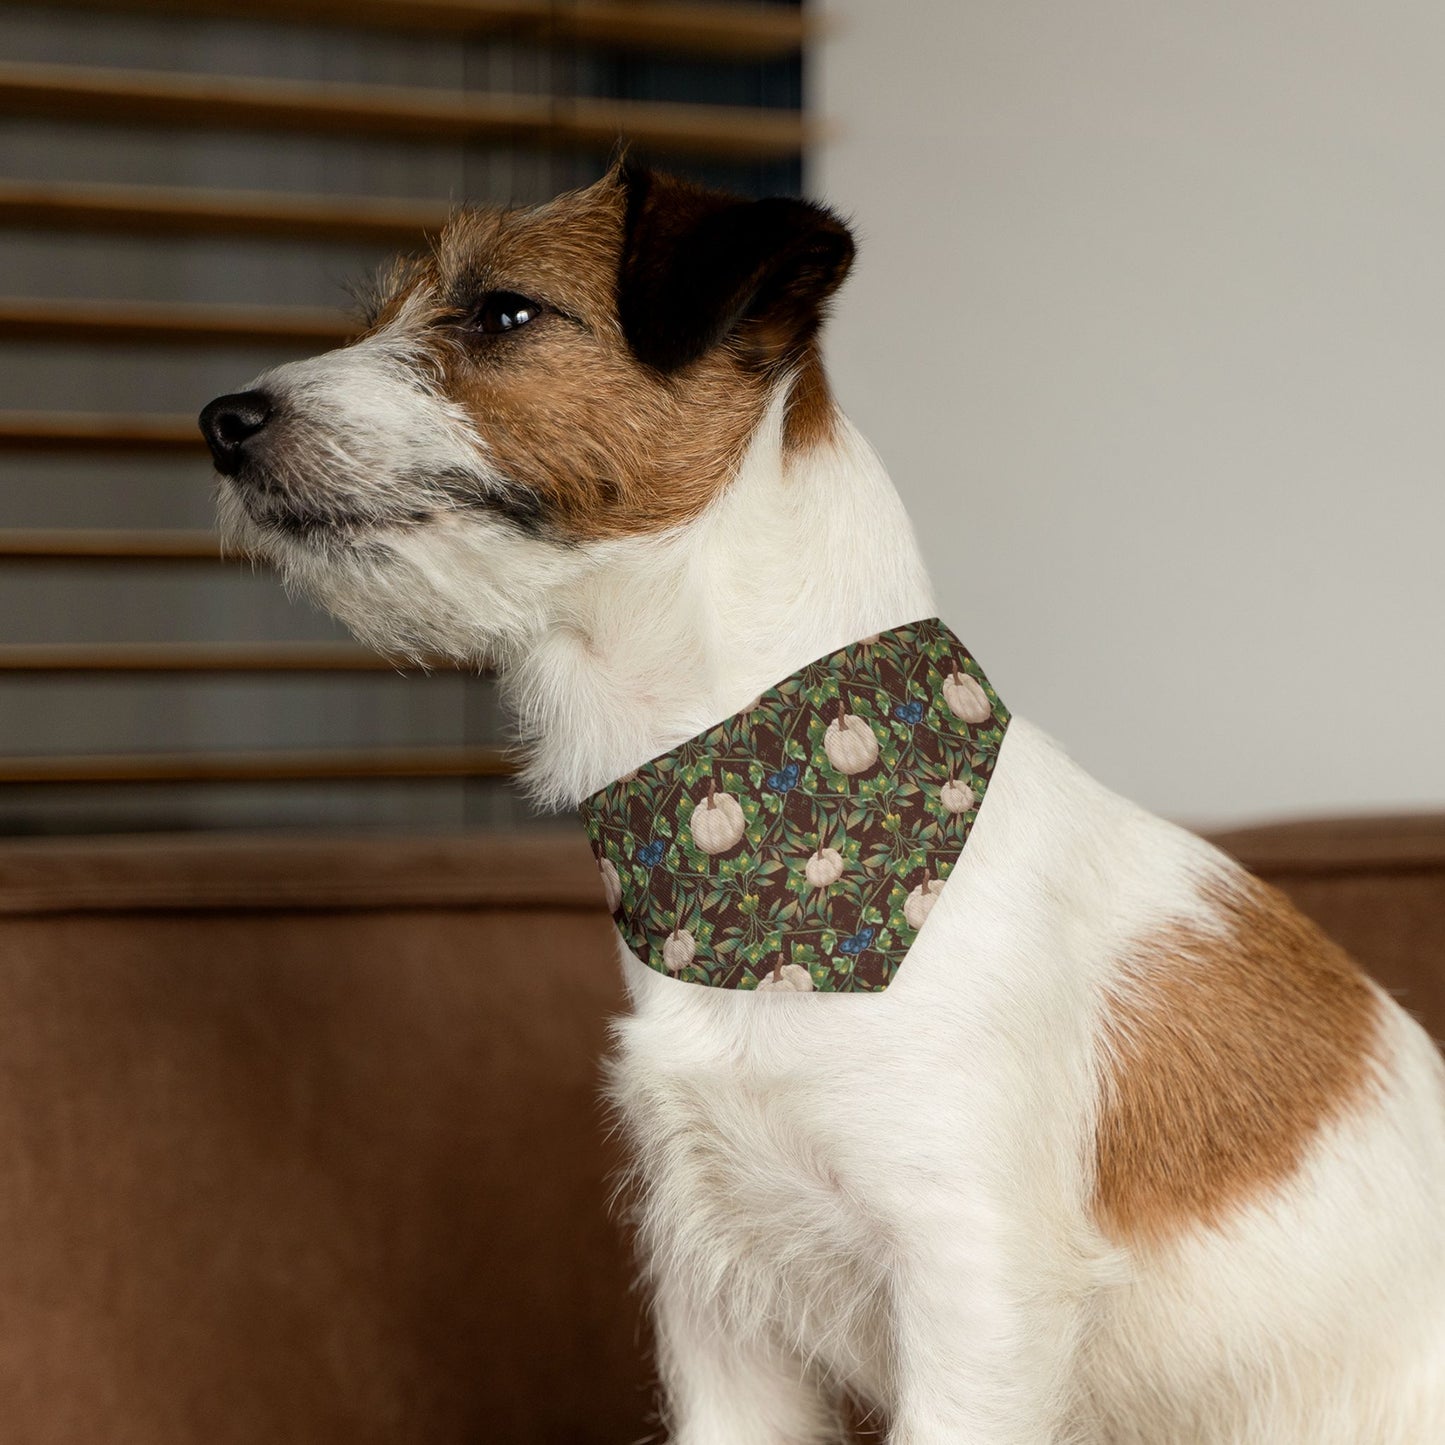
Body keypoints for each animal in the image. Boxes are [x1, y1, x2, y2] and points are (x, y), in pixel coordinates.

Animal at [200, 164, 1445, 1445]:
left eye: (502, 311)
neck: (773, 833)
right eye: (383, 313)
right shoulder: (716, 1305)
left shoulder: (972, 1291)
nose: (222, 421)